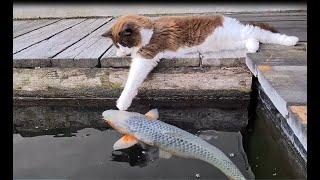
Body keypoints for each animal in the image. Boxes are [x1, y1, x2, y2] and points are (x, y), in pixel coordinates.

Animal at [101, 14, 298, 110]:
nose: (121, 52)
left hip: (239, 32)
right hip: (230, 41)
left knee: (264, 34)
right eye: (117, 45)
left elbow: (132, 79)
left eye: (123, 43)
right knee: (253, 39)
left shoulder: (146, 55)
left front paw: (122, 102)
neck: (150, 30)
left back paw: (291, 40)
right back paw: (253, 45)